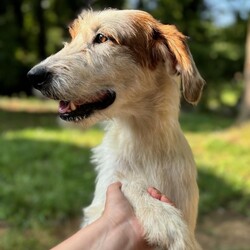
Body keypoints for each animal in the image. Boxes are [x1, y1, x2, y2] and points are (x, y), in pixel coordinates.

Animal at [28, 8, 205, 249]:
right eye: (73, 37)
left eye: (103, 38)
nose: (33, 76)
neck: (143, 139)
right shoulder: (101, 202)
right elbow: (125, 183)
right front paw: (164, 219)